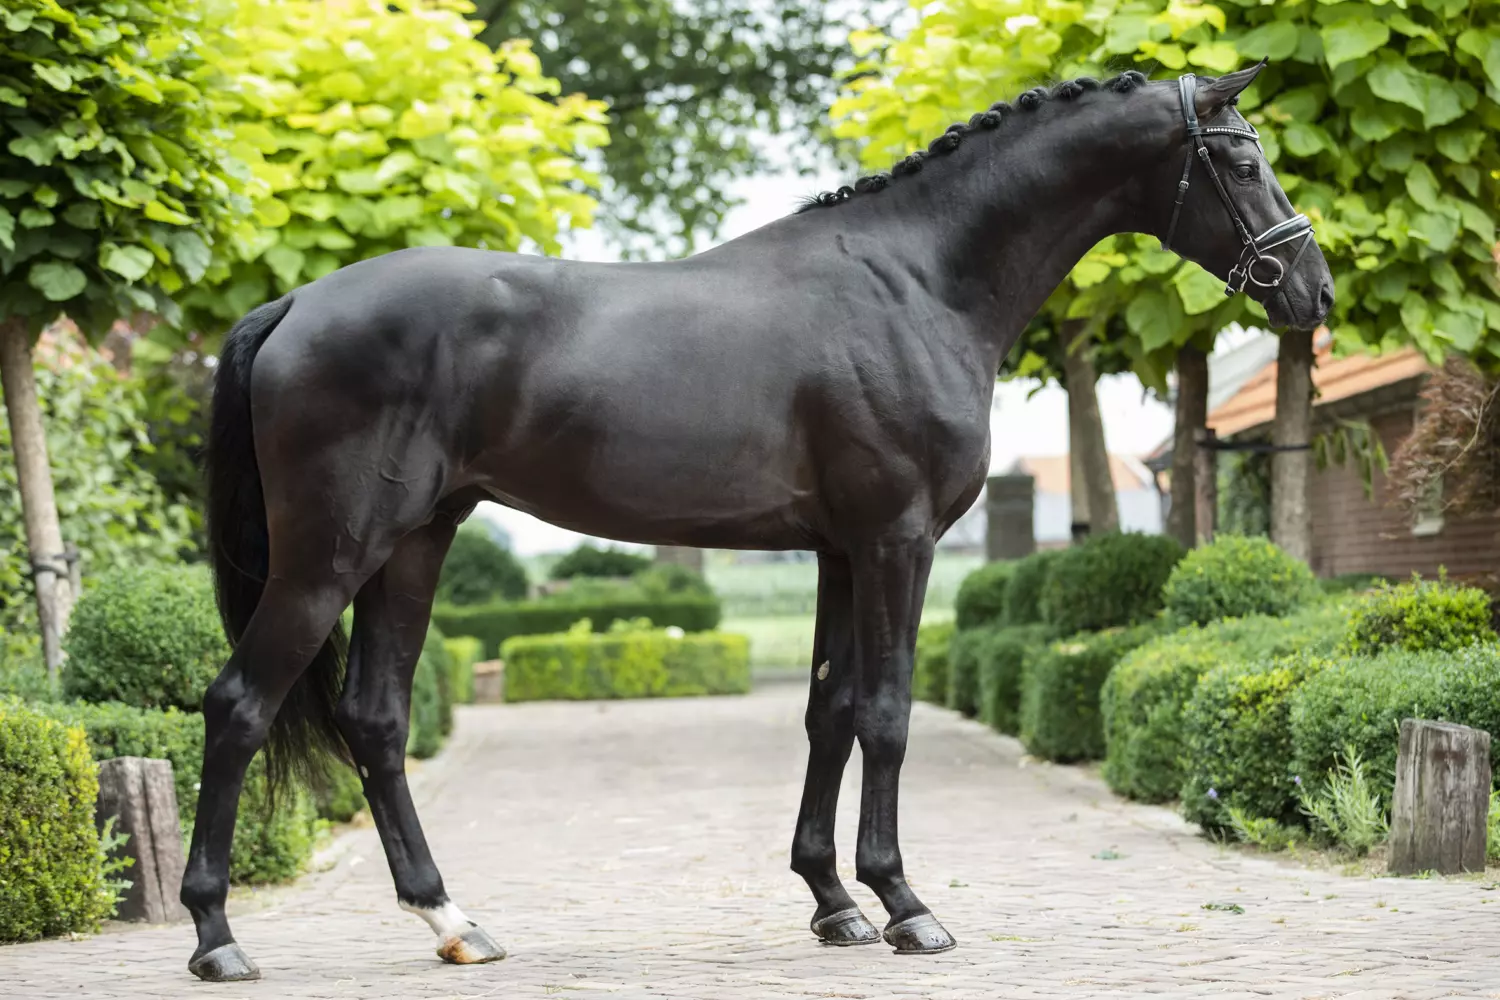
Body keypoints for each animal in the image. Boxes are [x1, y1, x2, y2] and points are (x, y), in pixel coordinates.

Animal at [181, 66, 1332, 983]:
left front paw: (833, 904)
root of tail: (293, 307)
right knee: (238, 705)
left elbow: (830, 711)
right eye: (1239, 160)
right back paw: (217, 937)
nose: (1312, 291)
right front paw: (906, 905)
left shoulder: (838, 551)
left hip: (415, 541)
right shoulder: (898, 541)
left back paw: (453, 921)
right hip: (328, 557)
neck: (916, 283)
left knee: (374, 717)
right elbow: (887, 715)